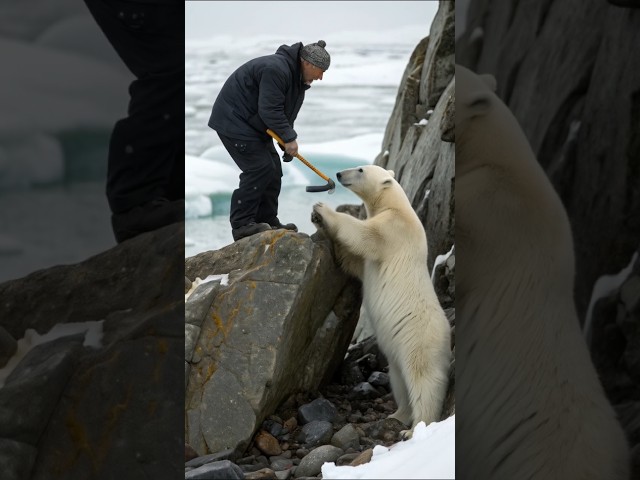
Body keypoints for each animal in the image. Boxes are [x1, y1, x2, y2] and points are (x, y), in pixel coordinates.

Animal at [310, 164, 450, 436]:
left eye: (360, 169)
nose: (340, 174)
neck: (396, 204)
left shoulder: (394, 229)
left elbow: (364, 235)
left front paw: (322, 210)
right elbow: (354, 262)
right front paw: (318, 221)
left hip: (420, 341)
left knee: (424, 380)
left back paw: (415, 428)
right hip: (396, 353)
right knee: (399, 381)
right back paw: (398, 414)